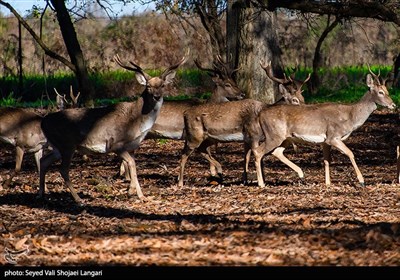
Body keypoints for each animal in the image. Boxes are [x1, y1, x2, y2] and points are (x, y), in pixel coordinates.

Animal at [37, 51, 188, 205]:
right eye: (148, 86)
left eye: (162, 85)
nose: (156, 96)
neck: (136, 122)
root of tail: (43, 122)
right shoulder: (116, 144)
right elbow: (132, 164)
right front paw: (141, 195)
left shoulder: (132, 146)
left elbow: (132, 164)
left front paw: (131, 191)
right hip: (67, 144)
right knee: (63, 169)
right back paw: (78, 199)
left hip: (58, 147)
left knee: (44, 161)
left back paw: (41, 194)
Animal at [252, 66, 396, 188]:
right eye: (381, 92)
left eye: (388, 91)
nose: (393, 105)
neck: (350, 117)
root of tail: (260, 115)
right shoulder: (333, 136)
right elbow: (350, 153)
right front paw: (361, 181)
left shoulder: (325, 141)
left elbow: (327, 160)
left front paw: (328, 183)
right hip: (273, 135)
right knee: (258, 151)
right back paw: (261, 184)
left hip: (285, 138)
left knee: (276, 152)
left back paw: (301, 174)